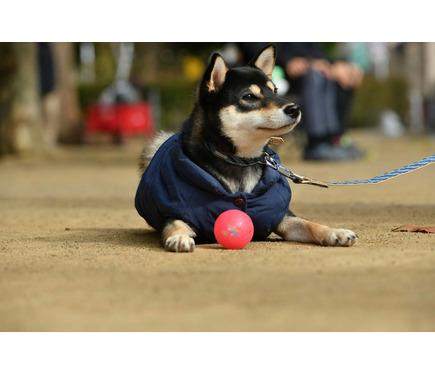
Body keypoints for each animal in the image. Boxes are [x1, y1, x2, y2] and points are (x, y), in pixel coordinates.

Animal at [135, 45, 358, 254]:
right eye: (249, 96)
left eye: (275, 91)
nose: (295, 108)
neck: (238, 160)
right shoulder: (175, 214)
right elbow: (174, 225)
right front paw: (179, 237)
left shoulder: (282, 216)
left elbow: (309, 223)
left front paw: (334, 232)